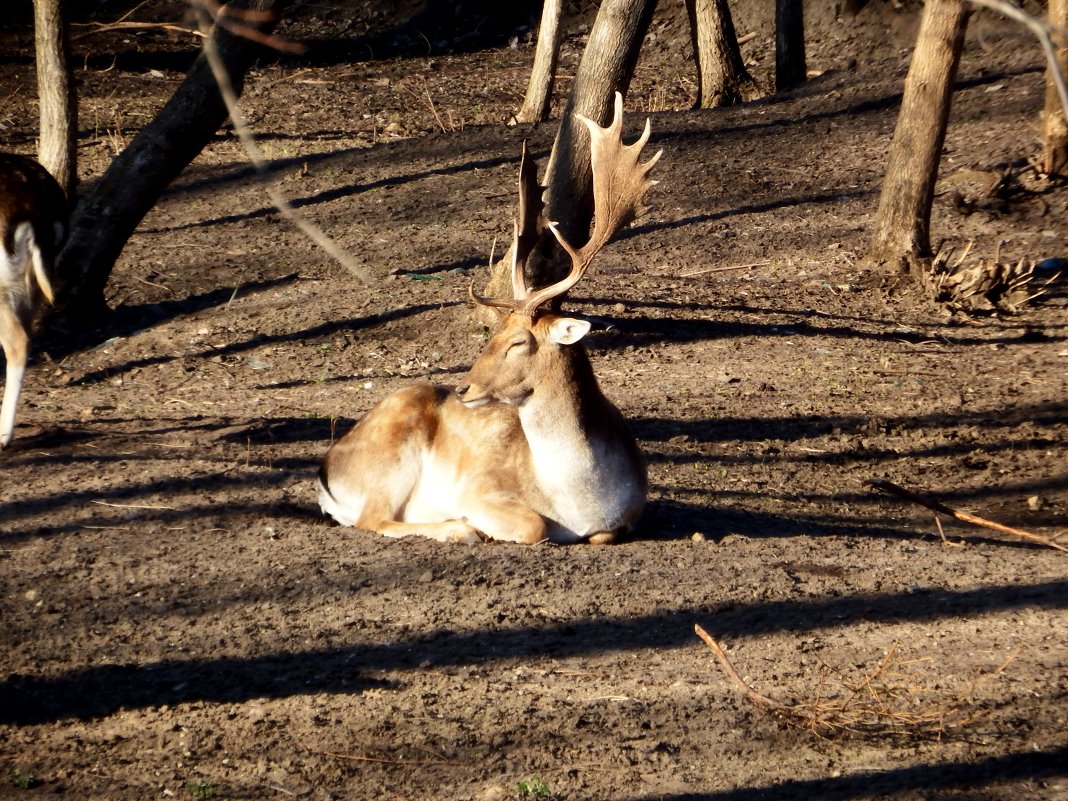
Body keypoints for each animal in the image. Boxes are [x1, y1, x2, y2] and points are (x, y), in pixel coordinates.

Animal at [316, 93, 657, 546]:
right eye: (491, 333)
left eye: (518, 342)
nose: (464, 388)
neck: (582, 502)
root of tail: (326, 470)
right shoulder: (481, 488)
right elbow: (533, 525)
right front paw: (479, 526)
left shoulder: (627, 517)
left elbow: (602, 535)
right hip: (390, 455)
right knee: (373, 517)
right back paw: (458, 529)